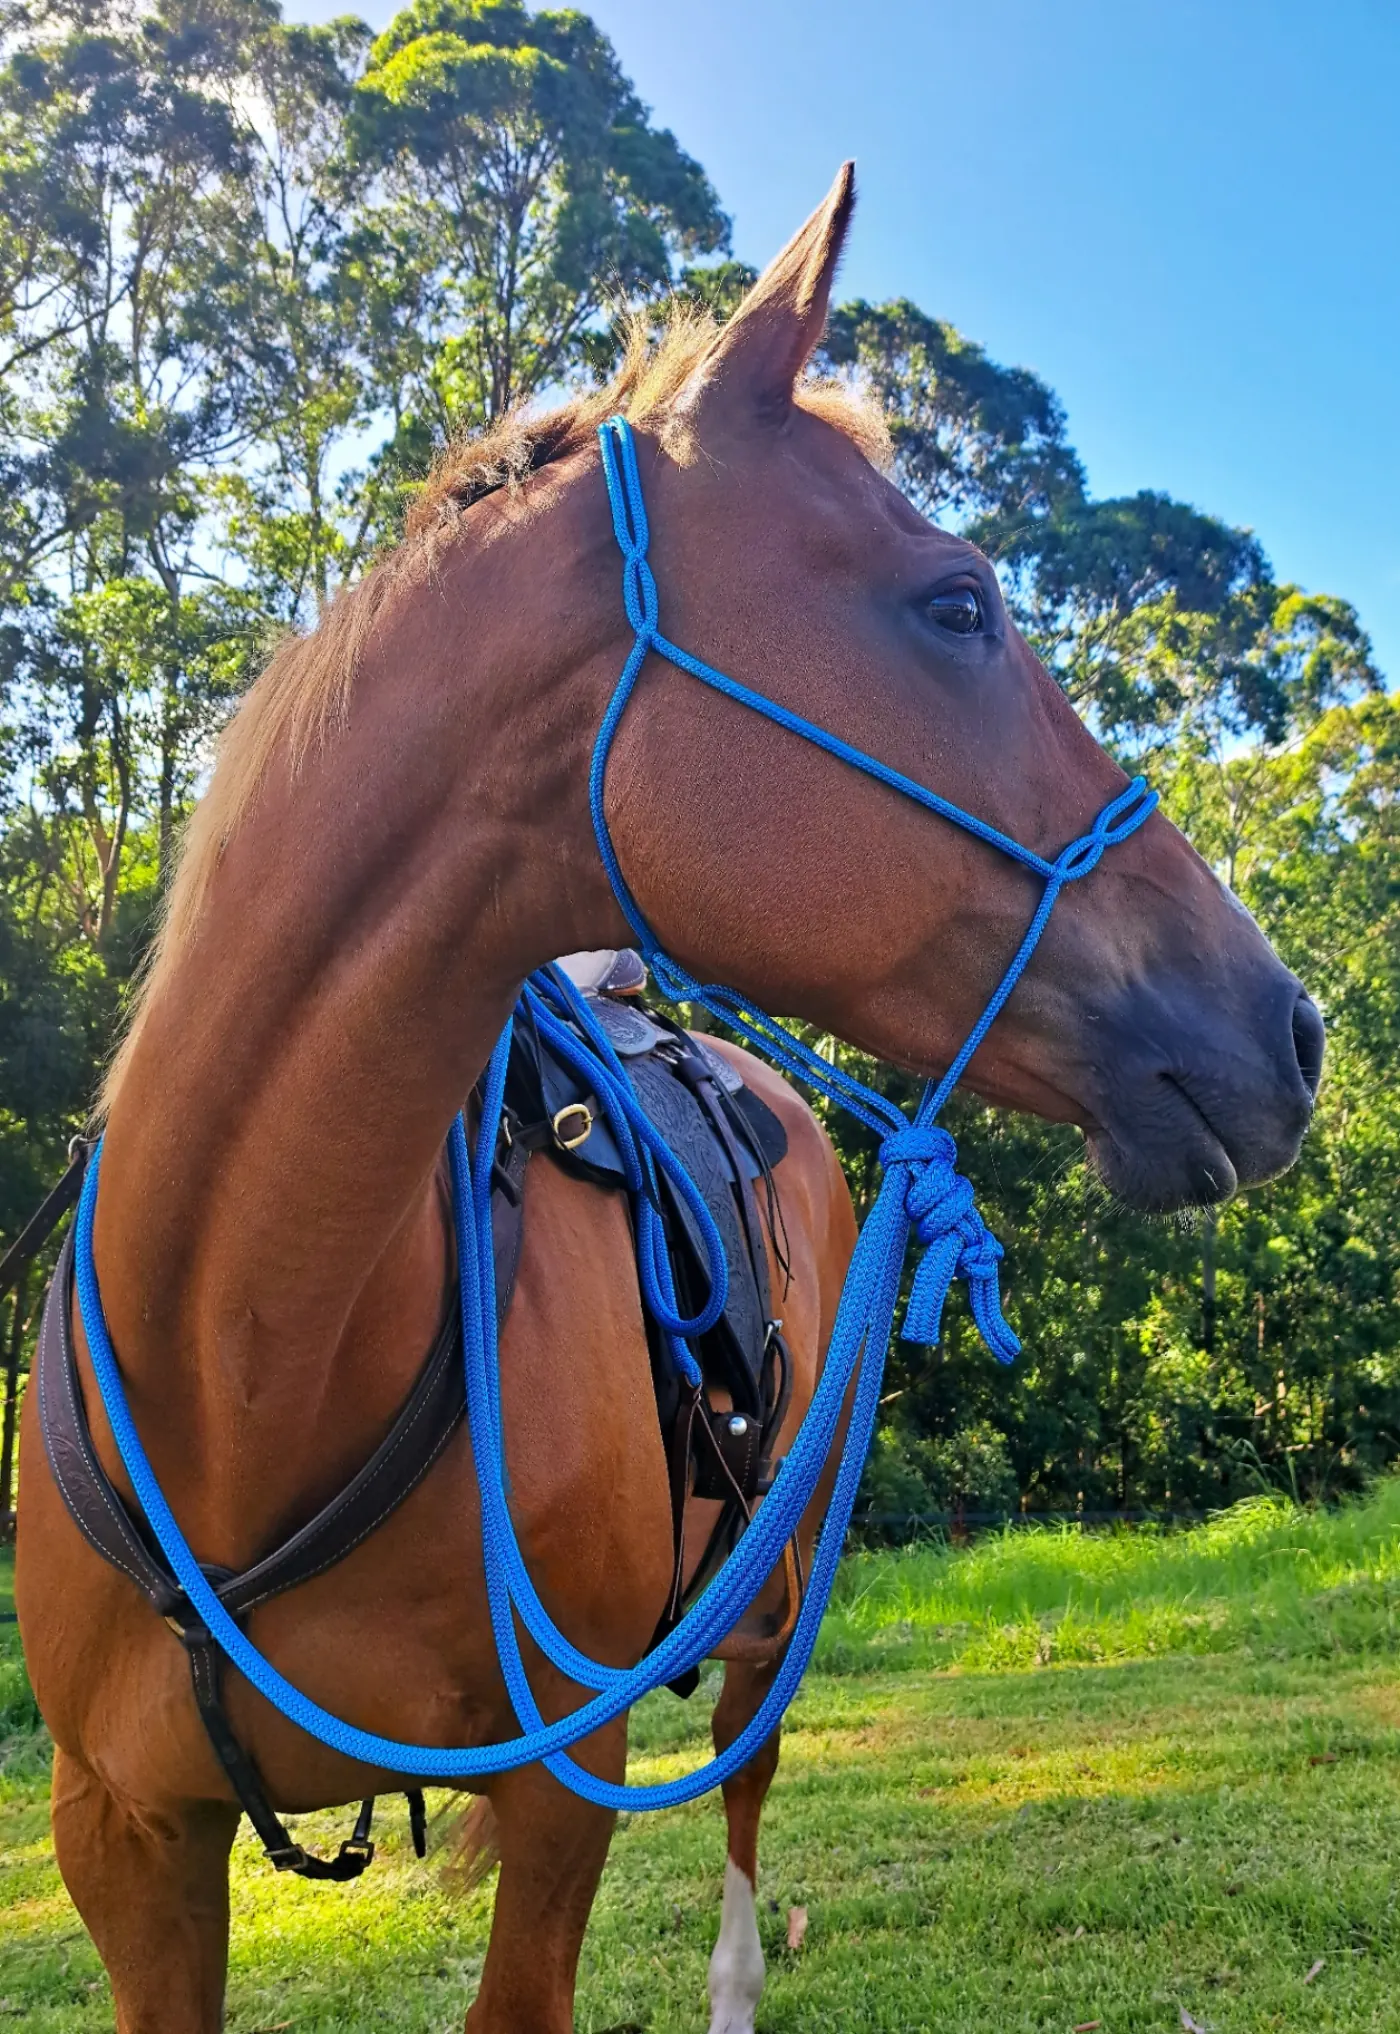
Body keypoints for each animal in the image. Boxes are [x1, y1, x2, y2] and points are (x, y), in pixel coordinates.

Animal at [16, 164, 1322, 2034]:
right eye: (958, 605)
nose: (1294, 1027)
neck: (242, 1367)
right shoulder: (121, 1833)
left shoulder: (567, 1786)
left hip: (777, 1591)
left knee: (750, 1784)